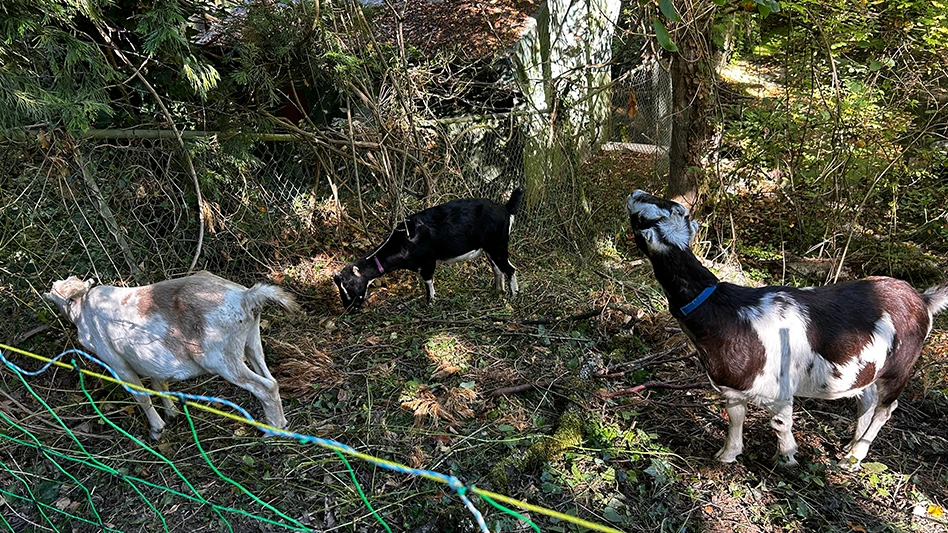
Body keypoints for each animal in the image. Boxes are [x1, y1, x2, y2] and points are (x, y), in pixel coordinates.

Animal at [44, 271, 300, 439]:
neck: (82, 308)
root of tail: (246, 297)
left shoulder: (117, 363)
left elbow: (141, 395)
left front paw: (157, 429)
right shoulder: (150, 362)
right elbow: (159, 385)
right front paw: (172, 414)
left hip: (222, 359)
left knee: (265, 387)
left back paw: (273, 431)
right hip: (251, 342)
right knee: (271, 379)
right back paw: (282, 422)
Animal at [333, 188, 524, 311]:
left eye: (350, 284)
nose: (348, 308)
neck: (404, 241)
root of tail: (505, 208)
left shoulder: (428, 261)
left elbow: (428, 281)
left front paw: (430, 302)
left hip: (498, 245)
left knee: (510, 269)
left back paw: (513, 296)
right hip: (490, 248)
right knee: (497, 268)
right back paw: (498, 291)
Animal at [626, 190, 948, 469]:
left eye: (643, 217)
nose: (635, 193)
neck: (725, 310)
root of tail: (921, 298)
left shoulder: (780, 389)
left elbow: (780, 424)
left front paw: (788, 458)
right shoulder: (733, 387)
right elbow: (735, 415)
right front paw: (728, 454)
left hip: (900, 367)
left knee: (885, 408)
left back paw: (855, 456)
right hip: (869, 366)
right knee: (866, 398)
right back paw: (851, 445)